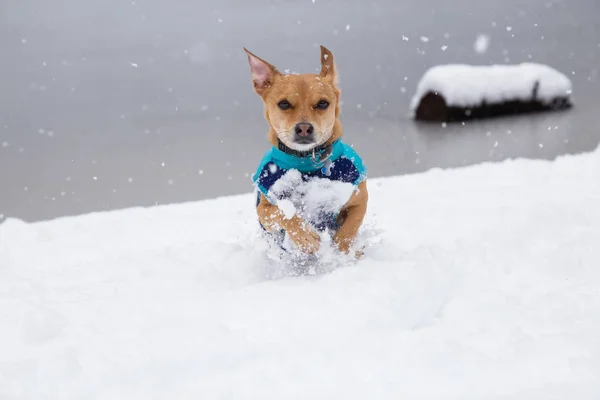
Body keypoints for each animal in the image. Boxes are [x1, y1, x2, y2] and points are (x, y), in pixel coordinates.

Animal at [243, 45, 366, 258]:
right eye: (284, 104)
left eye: (323, 103)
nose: (304, 128)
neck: (306, 161)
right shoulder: (264, 209)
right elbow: (282, 212)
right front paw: (304, 235)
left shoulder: (360, 199)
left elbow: (349, 230)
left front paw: (341, 252)